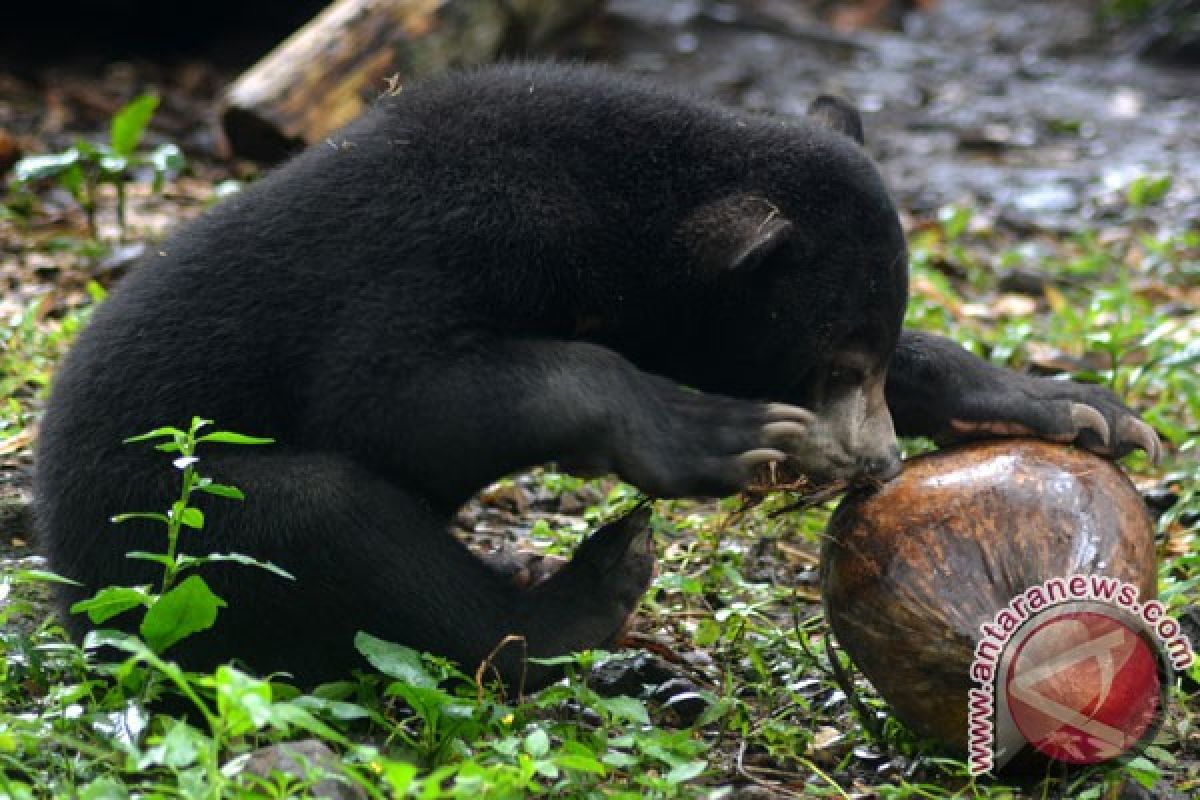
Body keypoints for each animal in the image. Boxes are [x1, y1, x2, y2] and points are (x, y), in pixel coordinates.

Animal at [35, 64, 1161, 690]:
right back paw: (588, 591)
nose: (877, 464)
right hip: (163, 520)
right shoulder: (424, 248)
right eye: (834, 363)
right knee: (332, 519)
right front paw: (721, 435)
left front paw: (1081, 408)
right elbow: (389, 393)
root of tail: (59, 569)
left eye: (868, 360)